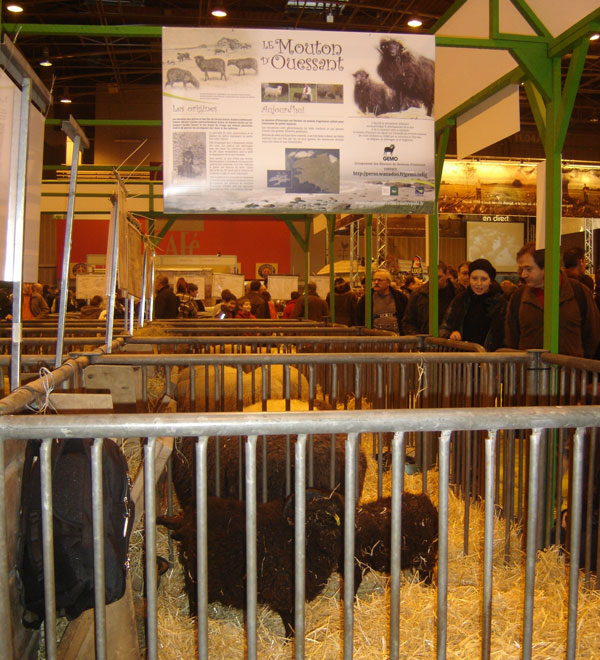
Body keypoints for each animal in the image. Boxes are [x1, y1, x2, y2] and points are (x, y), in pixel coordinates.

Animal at [157, 490, 344, 636]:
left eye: (332, 514)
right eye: (311, 516)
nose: (329, 535)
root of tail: (185, 518)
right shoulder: (283, 592)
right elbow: (290, 622)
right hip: (196, 573)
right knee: (193, 597)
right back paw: (195, 620)